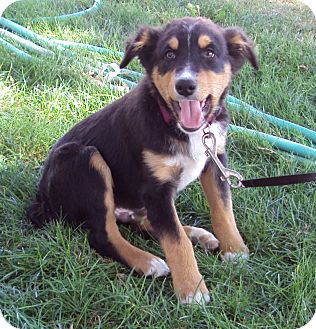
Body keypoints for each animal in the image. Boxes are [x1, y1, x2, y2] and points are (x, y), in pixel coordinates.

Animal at [26, 16, 260, 302]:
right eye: (169, 54)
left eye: (210, 53)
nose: (185, 86)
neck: (177, 126)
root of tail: (42, 198)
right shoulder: (156, 190)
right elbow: (176, 241)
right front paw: (192, 290)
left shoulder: (214, 161)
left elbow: (223, 209)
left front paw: (234, 249)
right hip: (87, 159)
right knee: (103, 235)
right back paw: (148, 262)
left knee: (147, 222)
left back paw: (198, 235)